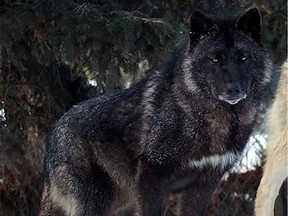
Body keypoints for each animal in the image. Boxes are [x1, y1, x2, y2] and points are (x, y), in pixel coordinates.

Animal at [39, 8, 274, 216]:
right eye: (215, 59)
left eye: (243, 58)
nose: (234, 89)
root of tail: (55, 129)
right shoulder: (152, 176)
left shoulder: (203, 185)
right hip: (96, 201)